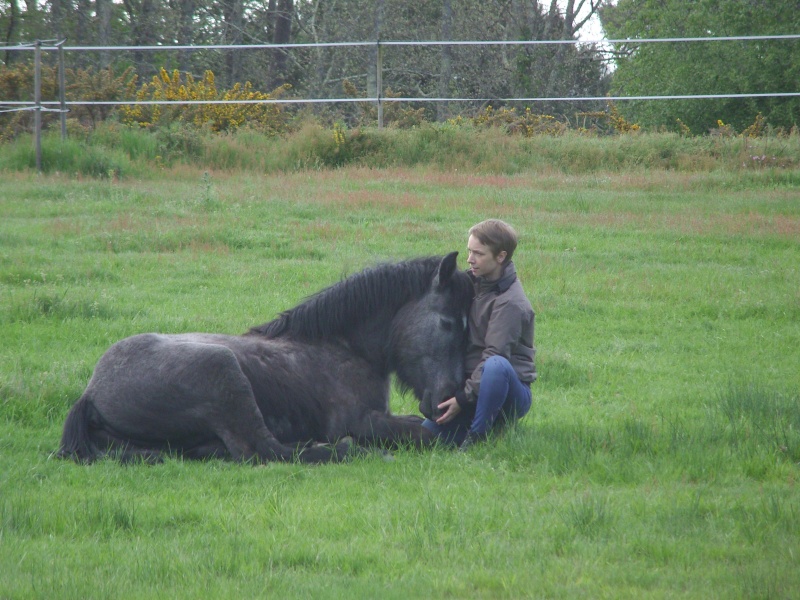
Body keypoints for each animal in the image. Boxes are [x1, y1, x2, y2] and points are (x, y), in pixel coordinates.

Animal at [59, 253, 472, 464]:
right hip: (224, 372)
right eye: (449, 323)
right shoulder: (361, 421)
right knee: (262, 450)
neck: (342, 348)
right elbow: (427, 435)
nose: (450, 400)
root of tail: (91, 392)